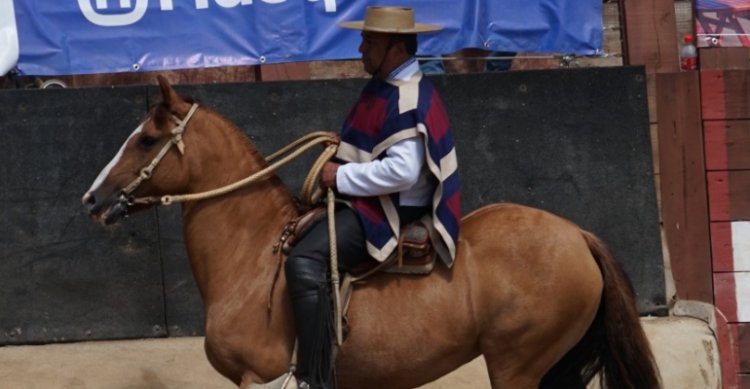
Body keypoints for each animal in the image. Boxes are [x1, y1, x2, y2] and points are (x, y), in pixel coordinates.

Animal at [79, 76, 660, 388]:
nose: (93, 200)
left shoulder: (258, 376)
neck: (251, 257)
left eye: (147, 139)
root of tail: (578, 236)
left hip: (517, 365)